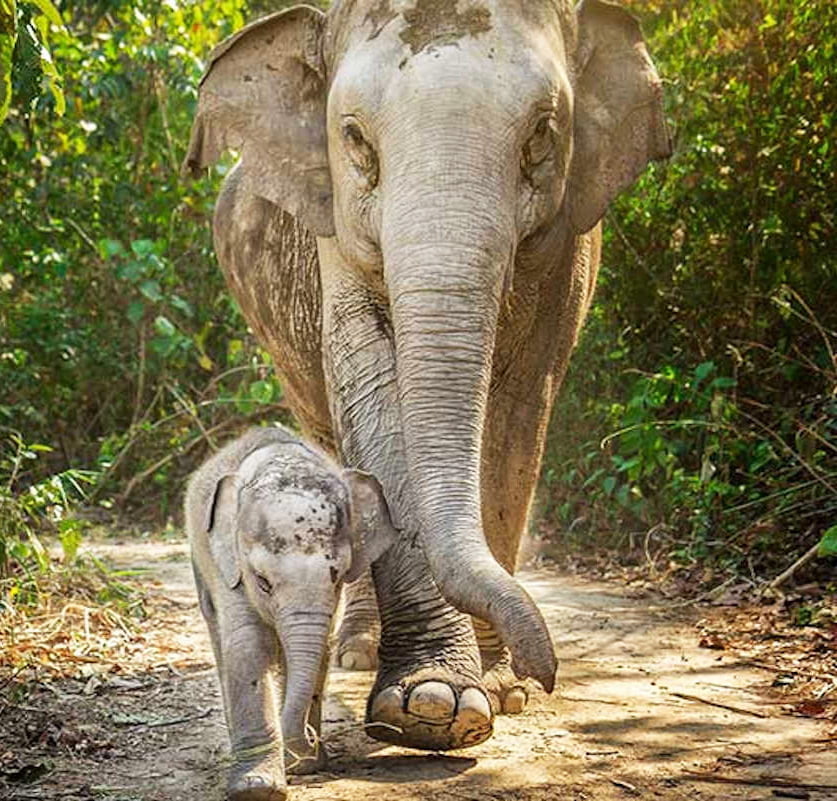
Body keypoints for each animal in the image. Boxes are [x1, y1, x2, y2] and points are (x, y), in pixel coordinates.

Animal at [184, 0, 670, 753]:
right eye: (354, 138)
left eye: (542, 133)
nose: (545, 672)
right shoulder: (334, 236)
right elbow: (371, 392)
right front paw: (429, 705)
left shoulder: (569, 242)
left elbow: (518, 415)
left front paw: (497, 689)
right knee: (329, 434)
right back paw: (357, 648)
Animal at [185, 425, 396, 800]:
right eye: (262, 582)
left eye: (338, 576)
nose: (304, 744)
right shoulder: (230, 569)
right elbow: (248, 647)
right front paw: (257, 788)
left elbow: (320, 651)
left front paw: (304, 765)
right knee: (217, 632)